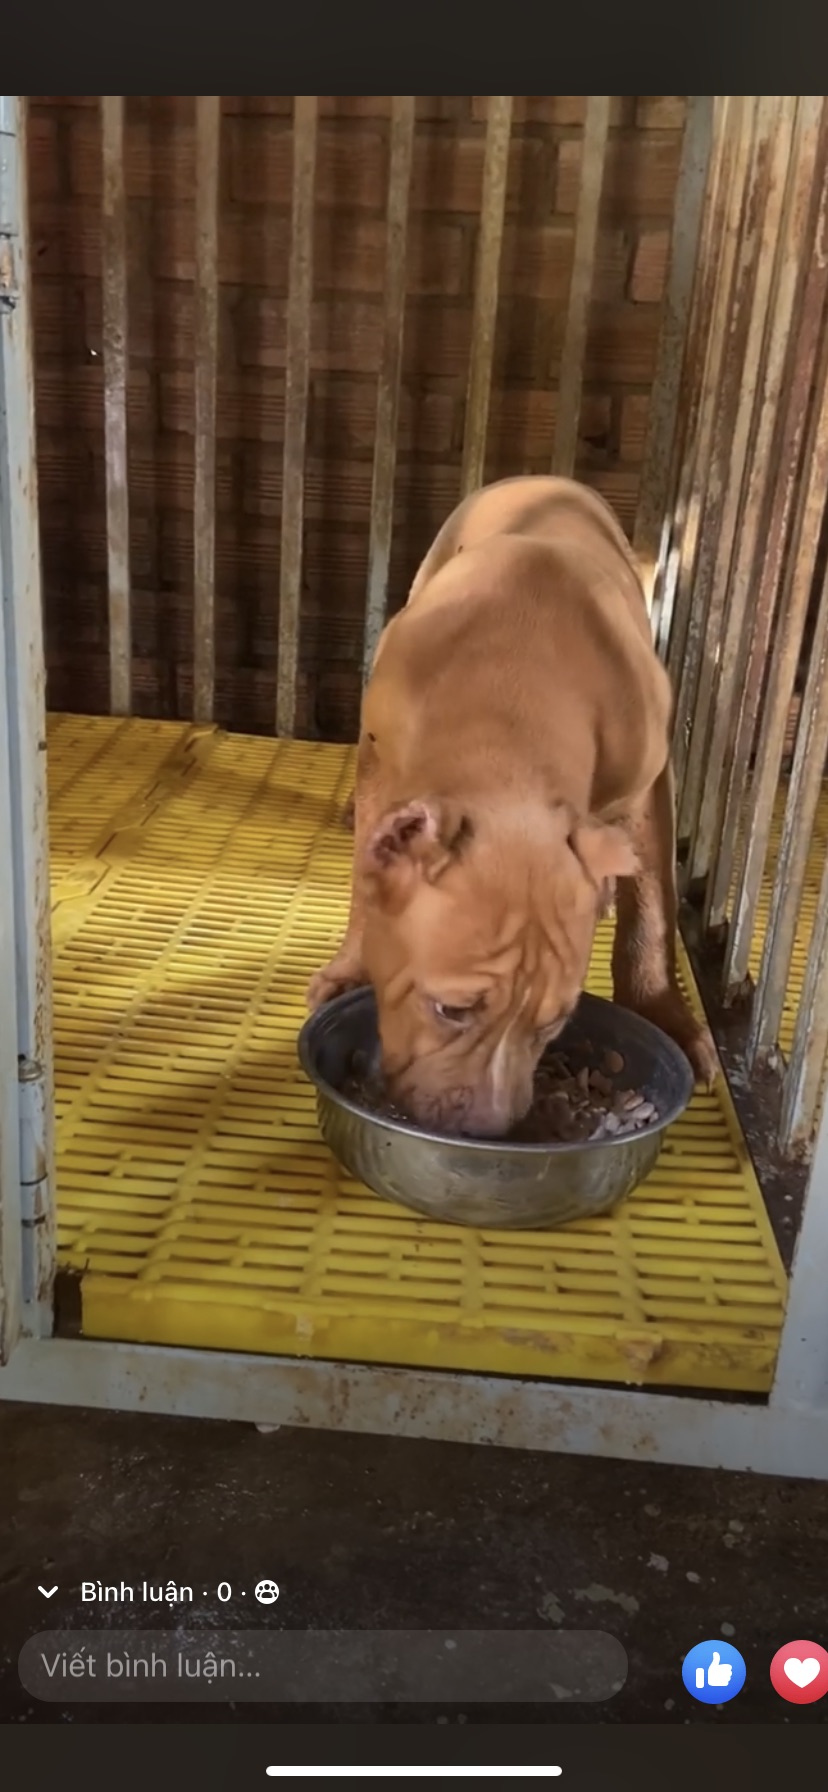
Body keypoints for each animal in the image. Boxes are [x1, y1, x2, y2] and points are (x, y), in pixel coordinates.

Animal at [308, 475, 717, 1137]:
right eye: (451, 1010)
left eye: (552, 1024)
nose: (489, 1129)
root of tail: (543, 480)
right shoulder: (379, 760)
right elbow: (368, 878)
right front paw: (352, 971)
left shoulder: (650, 788)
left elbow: (653, 906)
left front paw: (663, 1013)